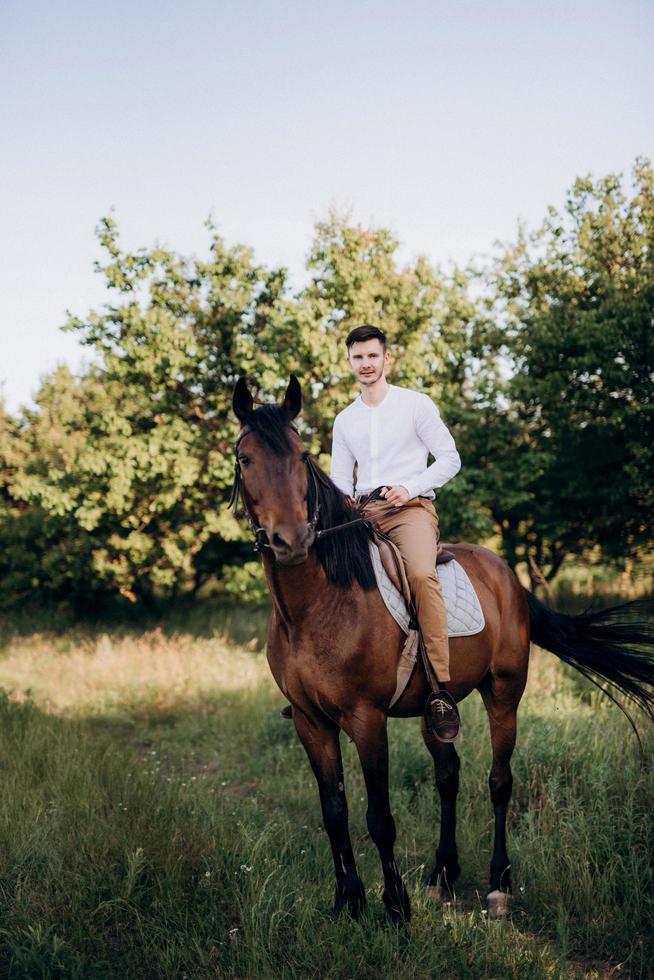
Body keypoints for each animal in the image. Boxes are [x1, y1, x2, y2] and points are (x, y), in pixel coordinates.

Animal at [231, 378, 654, 924]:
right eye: (244, 458)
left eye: (302, 456)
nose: (291, 540)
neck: (318, 605)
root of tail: (506, 575)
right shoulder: (311, 721)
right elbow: (334, 812)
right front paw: (349, 901)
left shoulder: (366, 719)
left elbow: (379, 817)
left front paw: (395, 906)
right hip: (436, 707)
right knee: (448, 775)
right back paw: (441, 875)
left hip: (504, 694)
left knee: (499, 780)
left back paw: (498, 884)